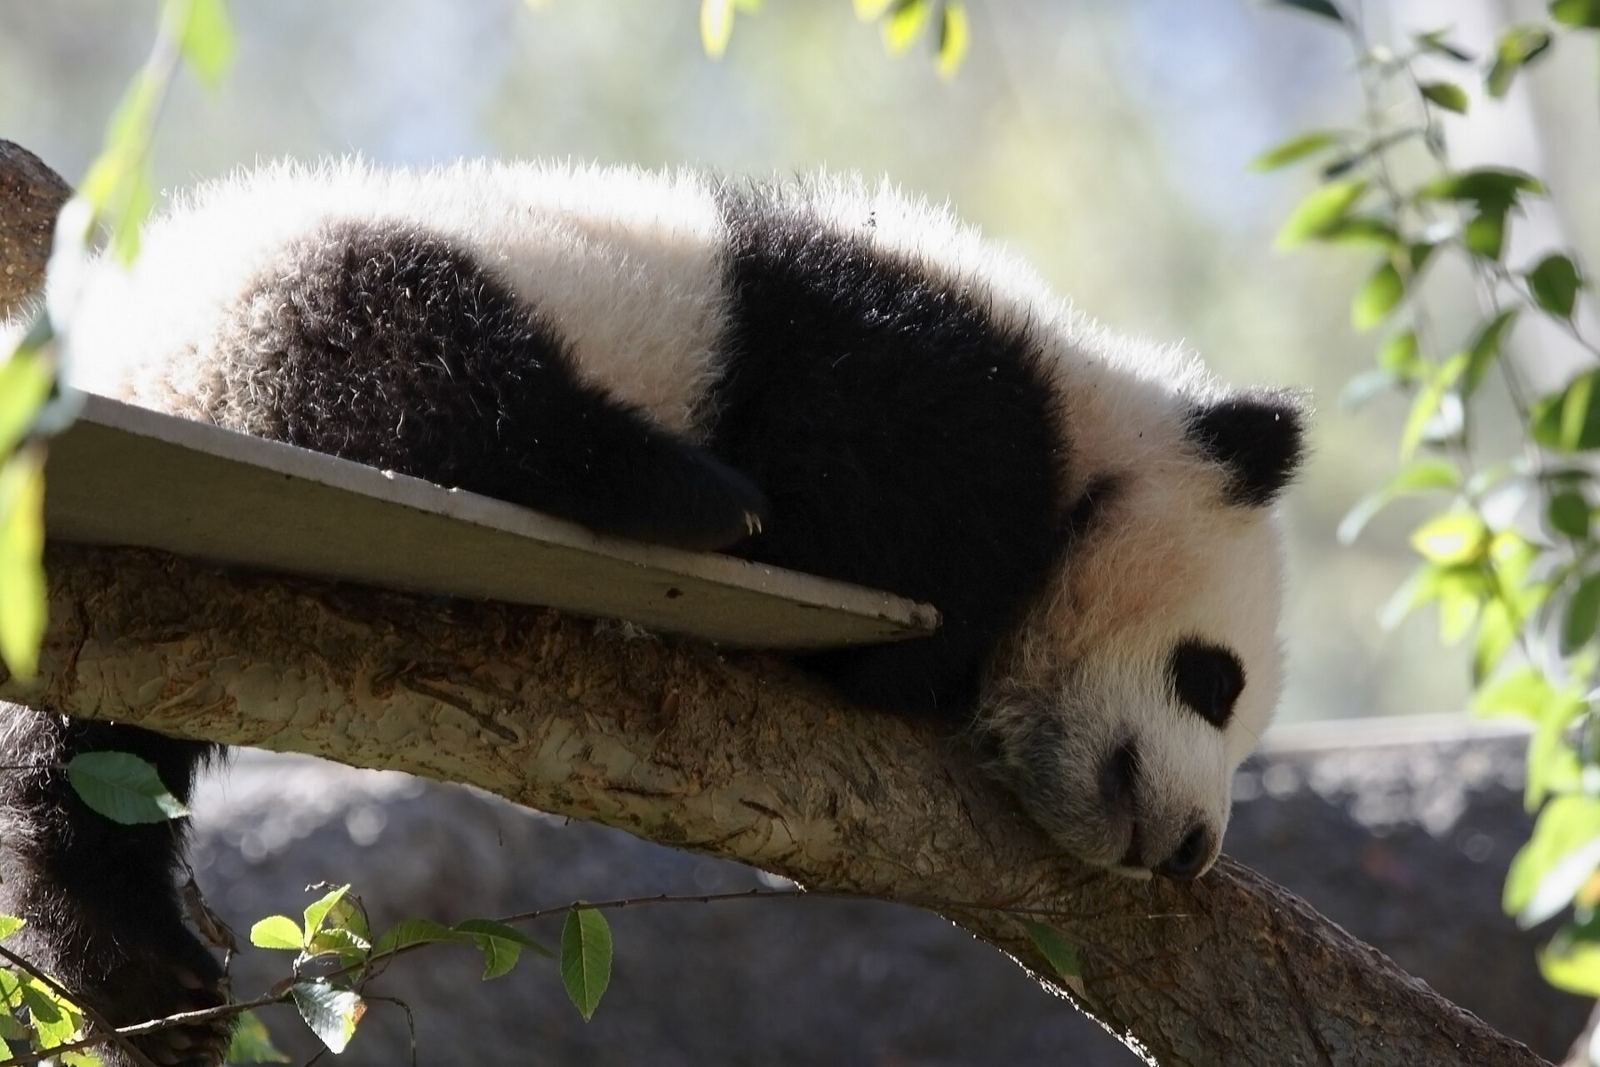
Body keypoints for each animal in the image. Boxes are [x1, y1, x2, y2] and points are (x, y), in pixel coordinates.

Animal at [0, 159, 1302, 1066]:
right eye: (1215, 678)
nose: (1190, 845)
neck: (1093, 414)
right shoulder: (911, 371)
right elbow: (872, 495)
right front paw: (924, 652)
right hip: (293, 301)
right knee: (421, 370)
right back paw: (682, 495)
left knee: (79, 759)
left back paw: (144, 982)